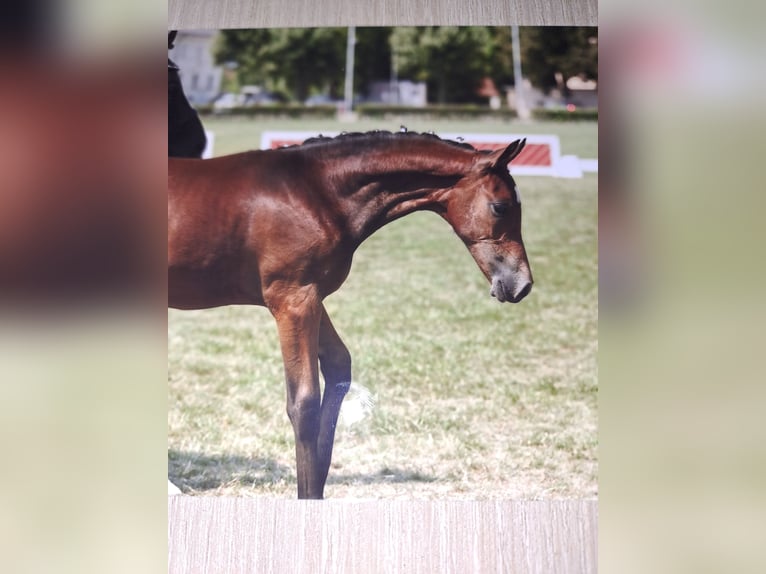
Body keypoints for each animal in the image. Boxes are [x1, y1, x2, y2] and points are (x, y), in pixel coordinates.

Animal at [170, 132, 536, 500]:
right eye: (501, 206)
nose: (521, 284)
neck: (314, 193)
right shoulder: (292, 300)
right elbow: (304, 404)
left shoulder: (312, 297)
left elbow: (338, 366)